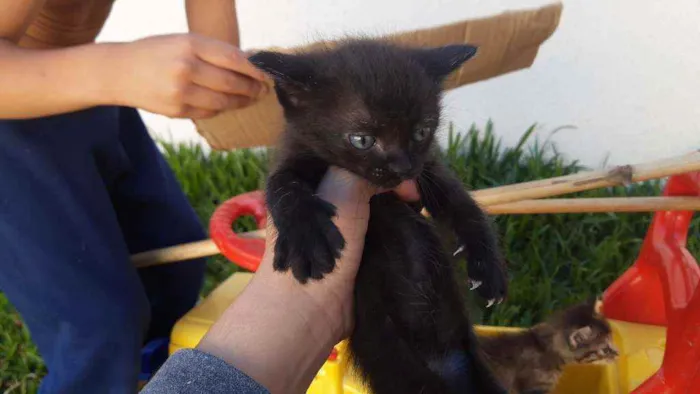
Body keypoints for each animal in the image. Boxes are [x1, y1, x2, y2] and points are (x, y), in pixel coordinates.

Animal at [252, 38, 508, 392]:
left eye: (421, 132)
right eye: (363, 140)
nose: (403, 167)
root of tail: (442, 361)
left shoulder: (428, 169)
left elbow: (464, 206)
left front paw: (487, 266)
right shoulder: (295, 155)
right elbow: (280, 184)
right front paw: (307, 238)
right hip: (391, 354)